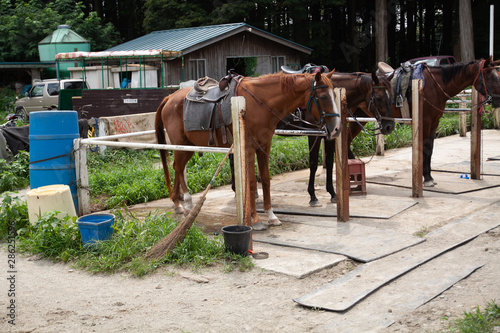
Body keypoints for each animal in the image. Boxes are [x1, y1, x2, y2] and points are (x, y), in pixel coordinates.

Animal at [156, 71, 342, 230]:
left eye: (334, 95)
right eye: (323, 97)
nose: (336, 129)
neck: (259, 102)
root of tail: (170, 97)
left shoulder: (264, 146)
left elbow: (265, 179)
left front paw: (271, 216)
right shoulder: (250, 148)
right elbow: (252, 182)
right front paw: (256, 219)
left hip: (188, 147)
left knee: (176, 167)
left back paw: (178, 204)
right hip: (181, 145)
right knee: (178, 168)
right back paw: (186, 203)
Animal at [350, 57, 500, 187]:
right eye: (490, 77)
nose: (498, 99)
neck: (436, 85)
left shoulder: (434, 122)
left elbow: (430, 148)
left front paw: (429, 177)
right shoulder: (426, 121)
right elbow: (426, 148)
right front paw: (427, 178)